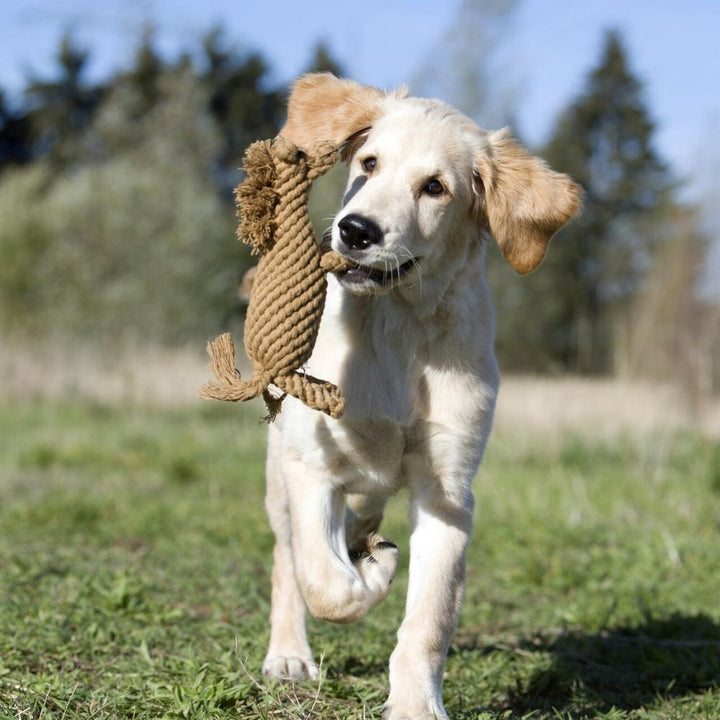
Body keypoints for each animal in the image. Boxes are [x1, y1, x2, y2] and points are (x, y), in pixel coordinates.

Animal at [256, 74, 584, 720]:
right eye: (368, 163)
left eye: (435, 187)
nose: (356, 231)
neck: (398, 324)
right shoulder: (311, 461)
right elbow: (323, 582)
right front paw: (372, 573)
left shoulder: (448, 491)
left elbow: (429, 620)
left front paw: (413, 703)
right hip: (279, 473)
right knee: (288, 559)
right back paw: (290, 653)